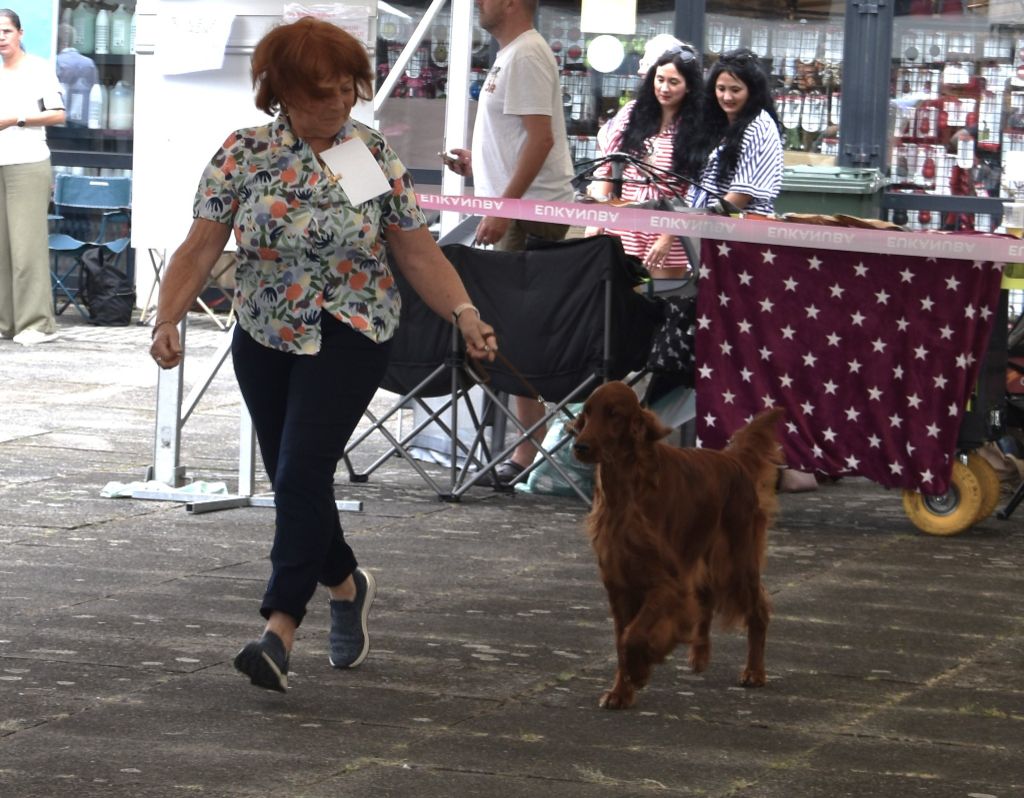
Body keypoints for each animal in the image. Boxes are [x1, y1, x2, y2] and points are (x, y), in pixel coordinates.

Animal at [569, 383, 782, 712]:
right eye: (586, 412)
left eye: (614, 414)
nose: (579, 446)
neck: (627, 490)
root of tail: (733, 460)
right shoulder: (619, 586)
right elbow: (622, 639)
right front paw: (620, 692)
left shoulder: (667, 582)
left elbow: (633, 636)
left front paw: (639, 670)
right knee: (706, 600)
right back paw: (700, 654)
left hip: (735, 562)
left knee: (758, 609)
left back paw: (754, 672)